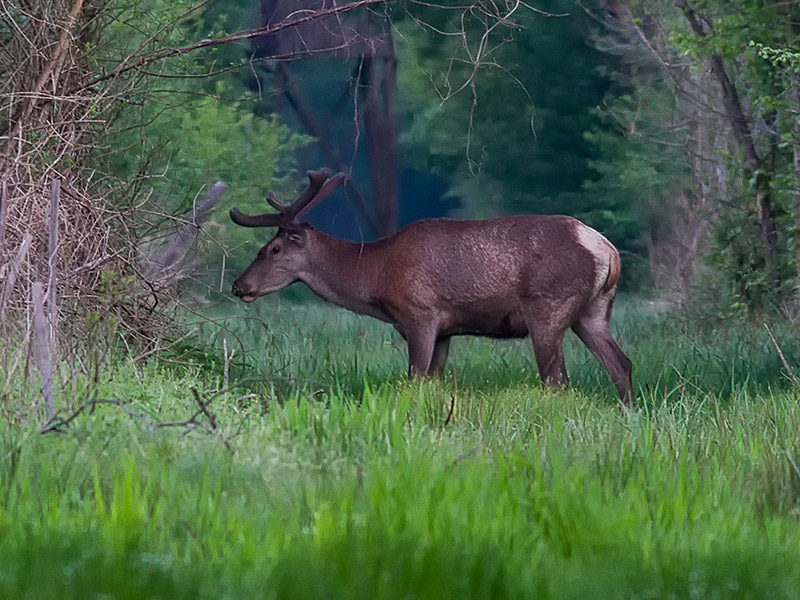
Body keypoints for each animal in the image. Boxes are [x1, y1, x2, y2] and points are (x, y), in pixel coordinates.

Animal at [230, 168, 632, 404]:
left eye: (273, 248)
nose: (238, 285)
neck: (376, 275)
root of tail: (608, 251)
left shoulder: (420, 314)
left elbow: (414, 378)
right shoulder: (445, 331)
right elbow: (432, 382)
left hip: (548, 306)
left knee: (557, 379)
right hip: (593, 311)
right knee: (621, 364)